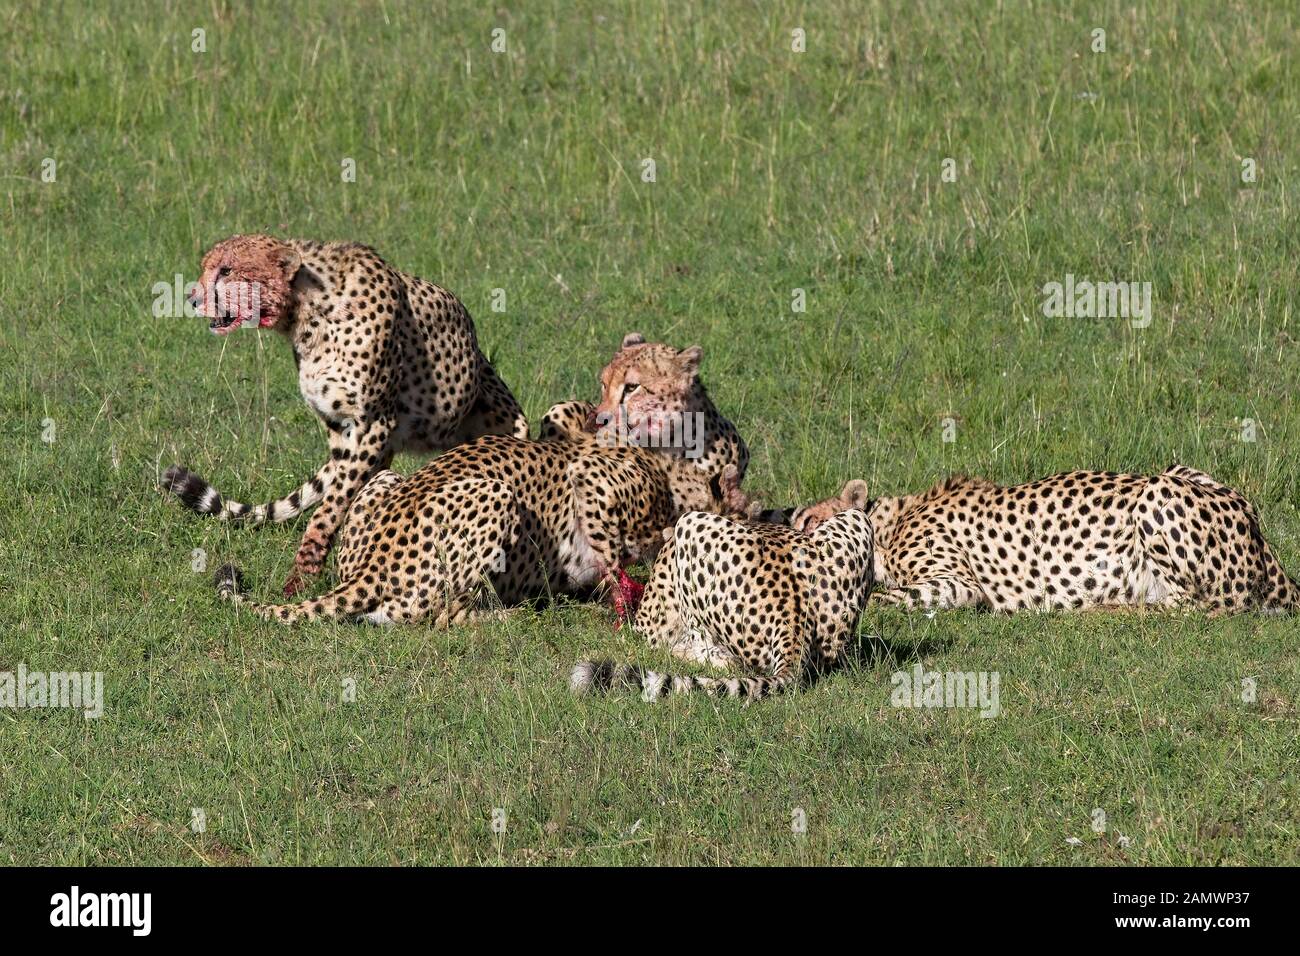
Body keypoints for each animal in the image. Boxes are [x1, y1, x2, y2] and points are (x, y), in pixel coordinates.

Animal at [159, 235, 525, 595]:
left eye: (227, 270)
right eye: (208, 267)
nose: (192, 299)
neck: (306, 312)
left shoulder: (372, 424)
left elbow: (330, 508)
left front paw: (301, 577)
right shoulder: (341, 428)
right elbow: (336, 500)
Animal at [217, 434, 738, 629]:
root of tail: (369, 569)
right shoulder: (592, 479)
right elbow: (612, 556)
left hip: (382, 480)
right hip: (497, 496)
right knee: (438, 617)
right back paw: (510, 615)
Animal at [569, 504, 873, 697]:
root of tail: (793, 617)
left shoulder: (649, 629)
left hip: (690, 524)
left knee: (726, 662)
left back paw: (681, 653)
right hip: (857, 517)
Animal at [790, 468, 1300, 616]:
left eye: (808, 522)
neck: (888, 524)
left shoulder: (959, 584)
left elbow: (881, 599)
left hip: (1158, 492)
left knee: (1197, 607)